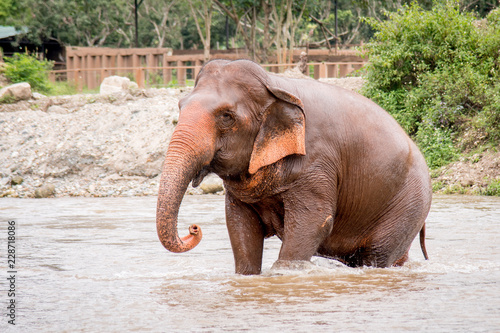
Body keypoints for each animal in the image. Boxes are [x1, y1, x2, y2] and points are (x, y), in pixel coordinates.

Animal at [155, 58, 430, 274]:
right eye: (180, 106)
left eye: (226, 116)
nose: (193, 228)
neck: (273, 82)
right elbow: (239, 224)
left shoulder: (316, 162)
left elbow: (315, 221)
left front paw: (284, 273)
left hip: (407, 204)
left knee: (377, 254)